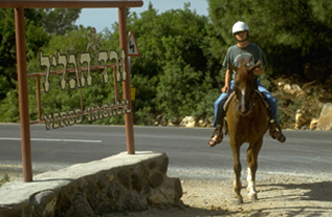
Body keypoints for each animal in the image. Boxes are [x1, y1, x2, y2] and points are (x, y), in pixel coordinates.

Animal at [226, 60, 270, 204]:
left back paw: (250, 186)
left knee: (249, 158)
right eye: (236, 83)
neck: (246, 116)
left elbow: (253, 164)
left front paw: (253, 192)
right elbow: (237, 165)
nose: (243, 108)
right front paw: (237, 194)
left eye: (251, 82)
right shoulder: (234, 140)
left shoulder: (257, 140)